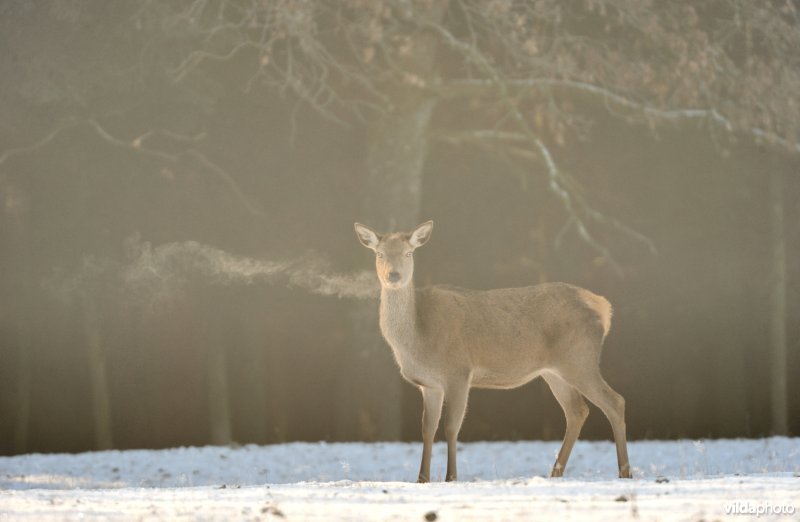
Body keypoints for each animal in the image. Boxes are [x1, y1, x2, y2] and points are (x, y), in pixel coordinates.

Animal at [354, 218, 632, 480]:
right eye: (380, 254)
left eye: (409, 253)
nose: (394, 276)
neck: (418, 338)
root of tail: (603, 307)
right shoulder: (429, 385)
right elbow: (427, 429)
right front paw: (421, 479)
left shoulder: (458, 372)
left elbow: (451, 427)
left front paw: (451, 477)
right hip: (554, 370)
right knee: (577, 410)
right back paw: (555, 473)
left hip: (579, 358)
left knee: (614, 401)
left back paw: (624, 472)